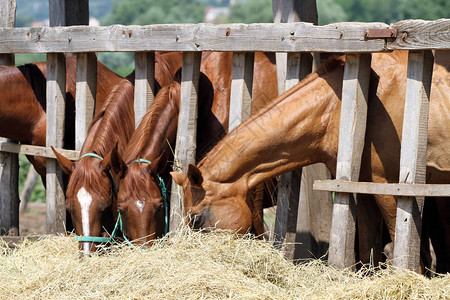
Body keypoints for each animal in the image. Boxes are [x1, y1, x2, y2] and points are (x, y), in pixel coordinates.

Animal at [172, 51, 450, 272]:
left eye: (196, 220)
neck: (344, 105)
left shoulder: (389, 187)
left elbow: (403, 242)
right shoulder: (363, 187)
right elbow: (367, 247)